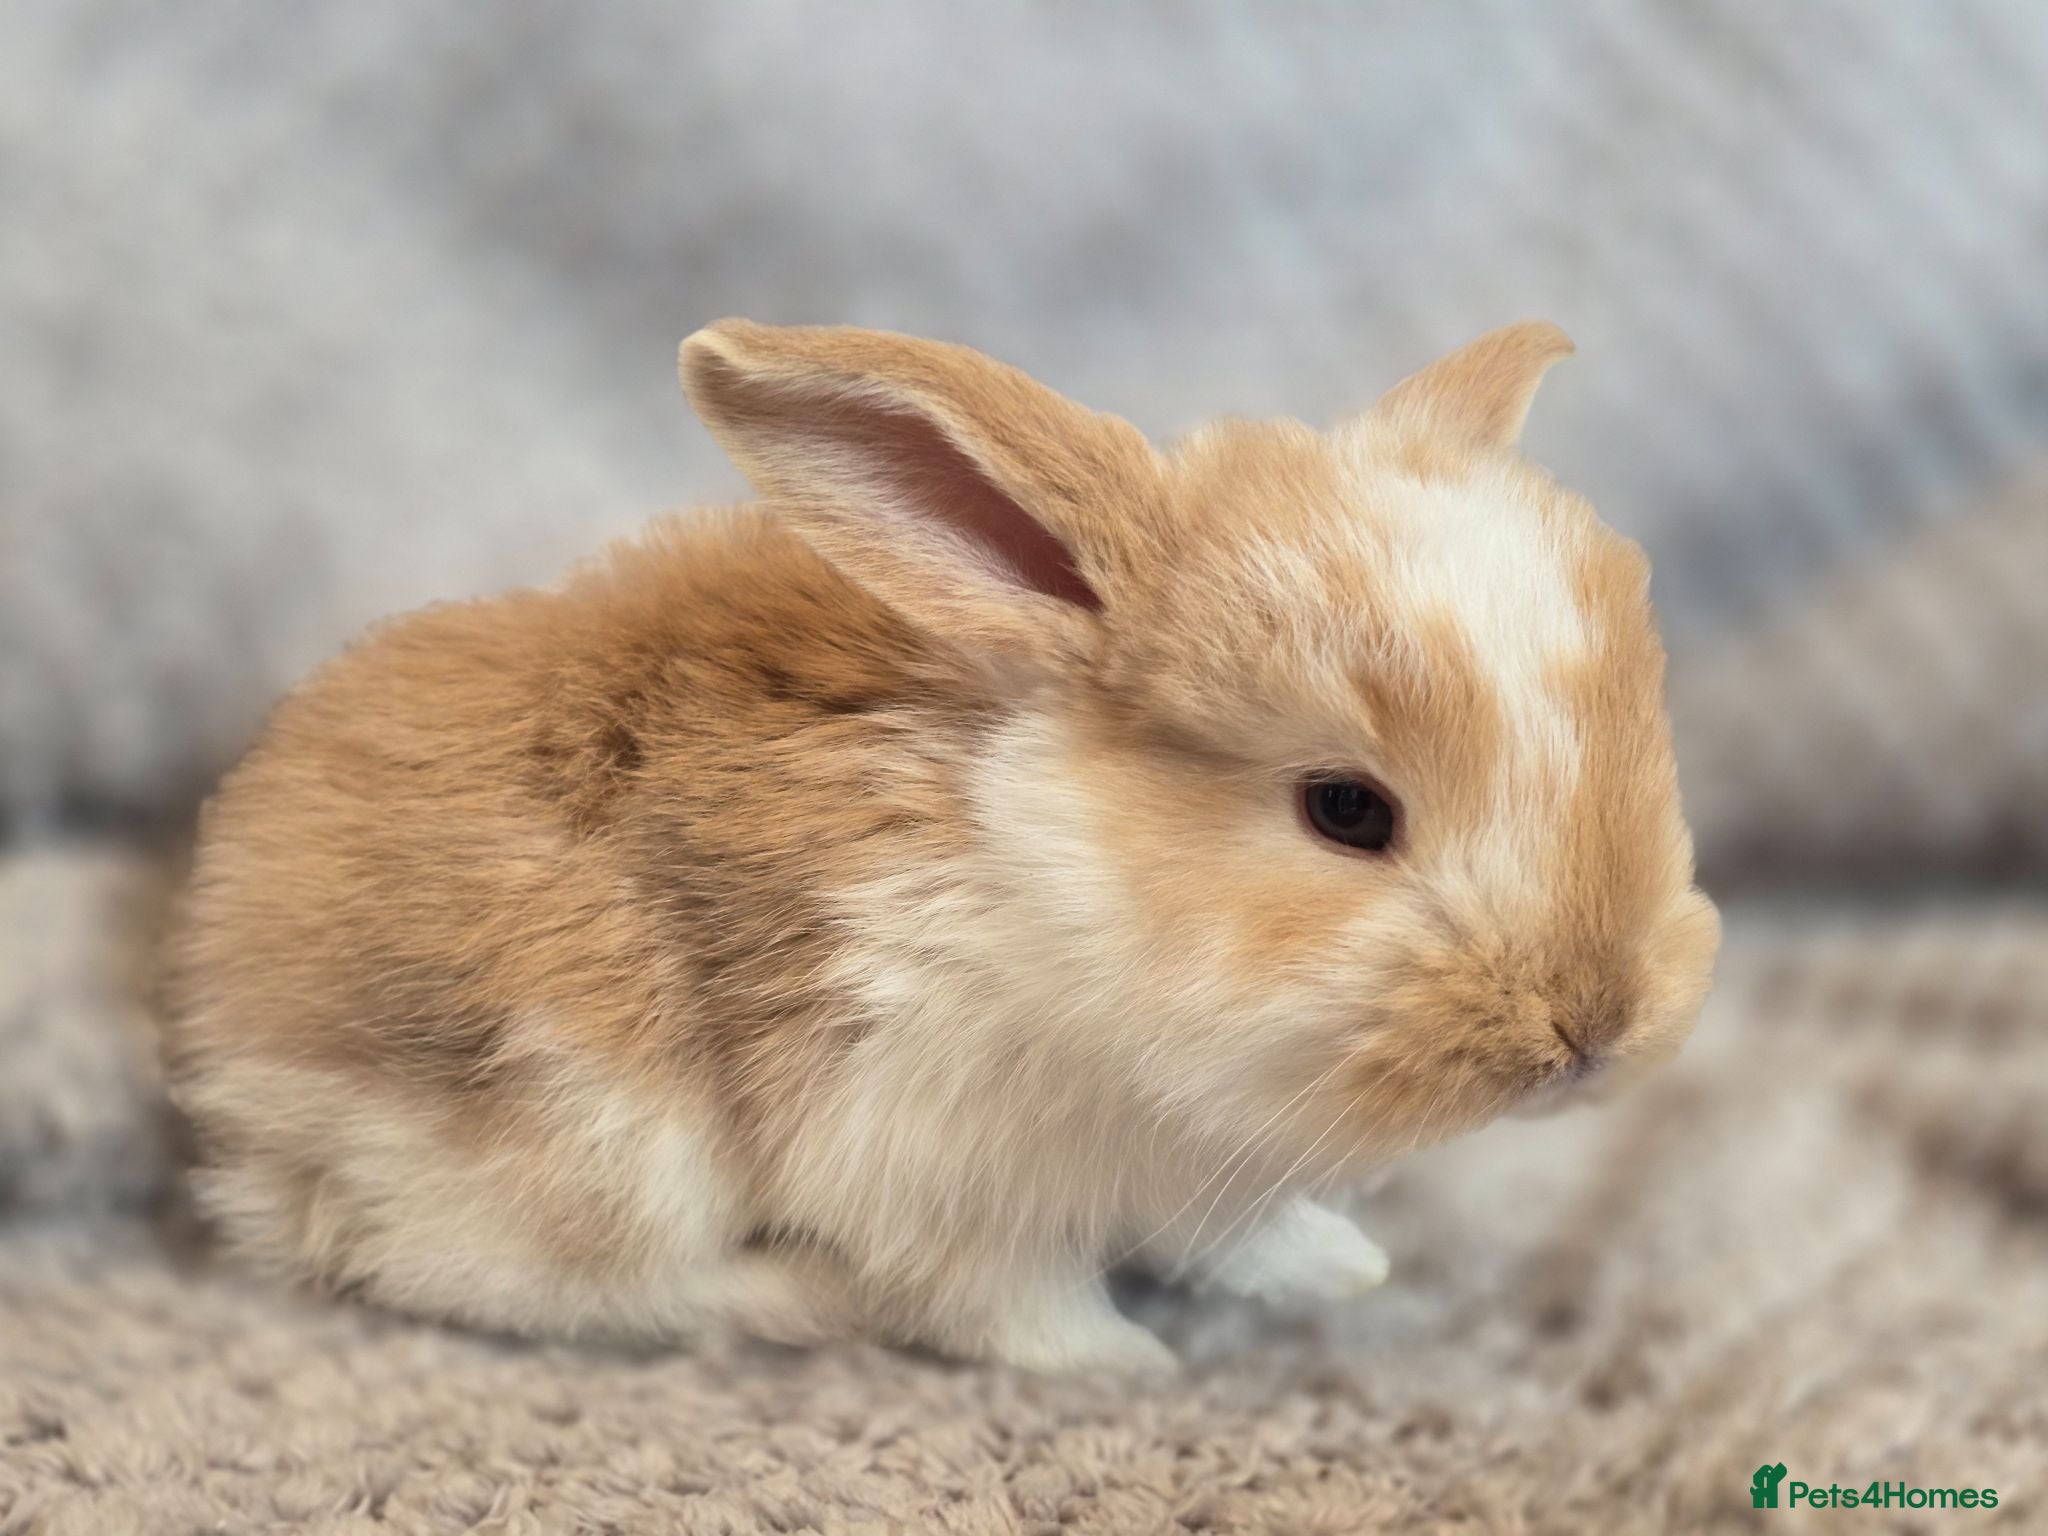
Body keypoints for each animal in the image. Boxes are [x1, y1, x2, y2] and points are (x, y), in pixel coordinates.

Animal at [165, 319, 1720, 1374]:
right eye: (1346, 811)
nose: (1595, 1030)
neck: (1063, 877)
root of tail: (232, 1035)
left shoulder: (1203, 1167)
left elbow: (1245, 1237)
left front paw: (1340, 1270)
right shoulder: (923, 1160)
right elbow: (1002, 1303)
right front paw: (1125, 1364)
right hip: (596, 1139)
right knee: (485, 1273)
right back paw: (793, 1304)